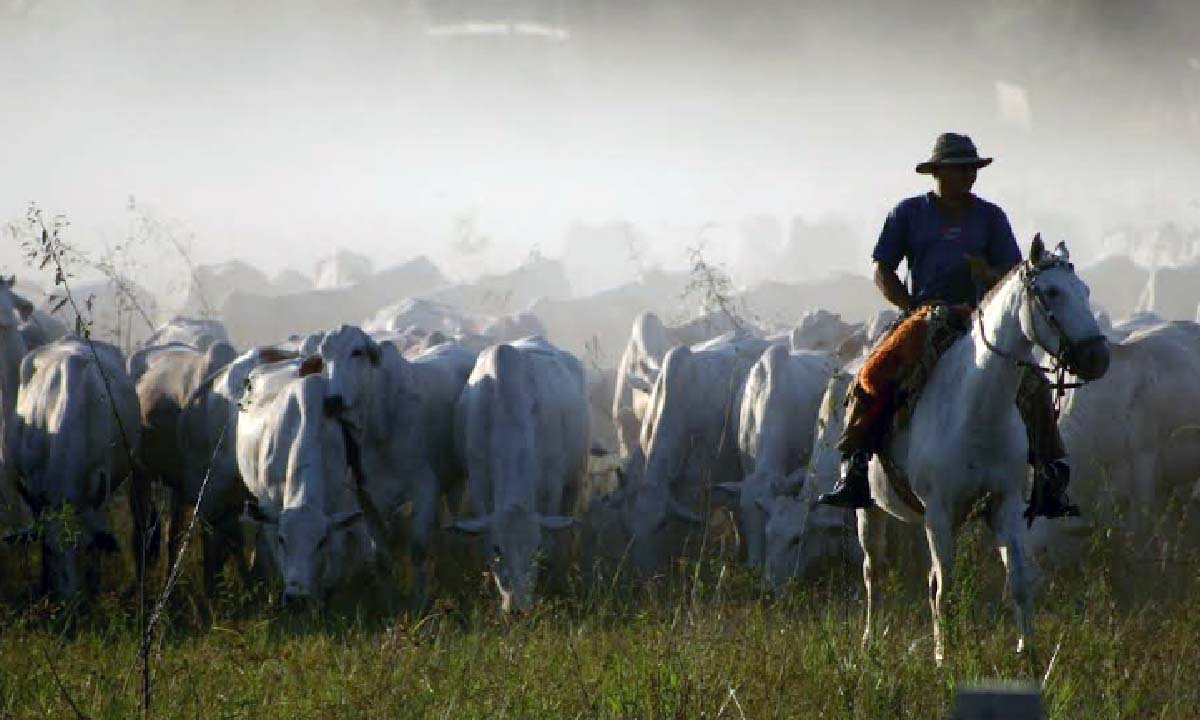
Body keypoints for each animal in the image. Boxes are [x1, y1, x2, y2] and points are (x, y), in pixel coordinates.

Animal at [319, 324, 477, 602]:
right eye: (324, 355)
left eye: (357, 351)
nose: (333, 401)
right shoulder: (367, 498)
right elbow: (381, 558)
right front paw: (390, 601)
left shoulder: (425, 486)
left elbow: (419, 549)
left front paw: (420, 601)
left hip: (456, 481)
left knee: (452, 522)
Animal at [448, 338, 588, 612]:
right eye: (497, 548)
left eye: (536, 548)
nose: (517, 608)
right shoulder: (478, 481)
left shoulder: (553, 485)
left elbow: (552, 542)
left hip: (576, 477)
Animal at [864, 236, 1104, 662]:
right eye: (1052, 292)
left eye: (1086, 291)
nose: (1098, 357)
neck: (976, 410)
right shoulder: (938, 513)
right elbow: (944, 590)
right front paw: (944, 658)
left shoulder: (1003, 503)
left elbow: (1019, 581)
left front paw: (1027, 650)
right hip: (869, 509)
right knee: (874, 571)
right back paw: (870, 644)